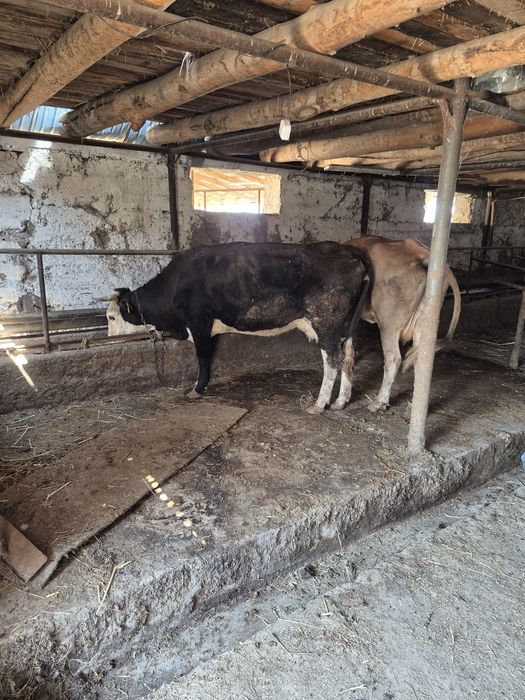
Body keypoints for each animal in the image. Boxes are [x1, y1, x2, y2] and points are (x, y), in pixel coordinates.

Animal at [108, 242, 370, 414]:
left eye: (111, 317)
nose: (109, 339)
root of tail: (348, 249)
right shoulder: (206, 328)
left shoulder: (198, 322)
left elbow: (202, 357)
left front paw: (197, 389)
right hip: (348, 326)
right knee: (348, 355)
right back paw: (341, 401)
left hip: (326, 321)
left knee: (333, 359)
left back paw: (319, 404)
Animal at [345, 235, 461, 412]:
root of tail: (419, 250)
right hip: (424, 322)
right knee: (421, 359)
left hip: (388, 324)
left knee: (393, 359)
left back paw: (379, 402)